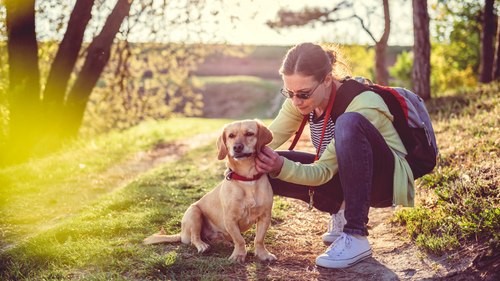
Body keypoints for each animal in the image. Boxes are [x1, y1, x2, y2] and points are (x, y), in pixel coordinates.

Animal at [144, 119, 278, 262]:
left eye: (249, 134)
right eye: (231, 136)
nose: (237, 147)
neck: (247, 179)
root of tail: (182, 234)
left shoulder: (265, 216)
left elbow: (259, 239)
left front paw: (263, 254)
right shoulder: (230, 219)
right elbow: (240, 240)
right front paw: (239, 255)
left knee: (216, 240)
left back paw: (224, 243)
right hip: (194, 213)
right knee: (194, 239)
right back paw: (203, 246)